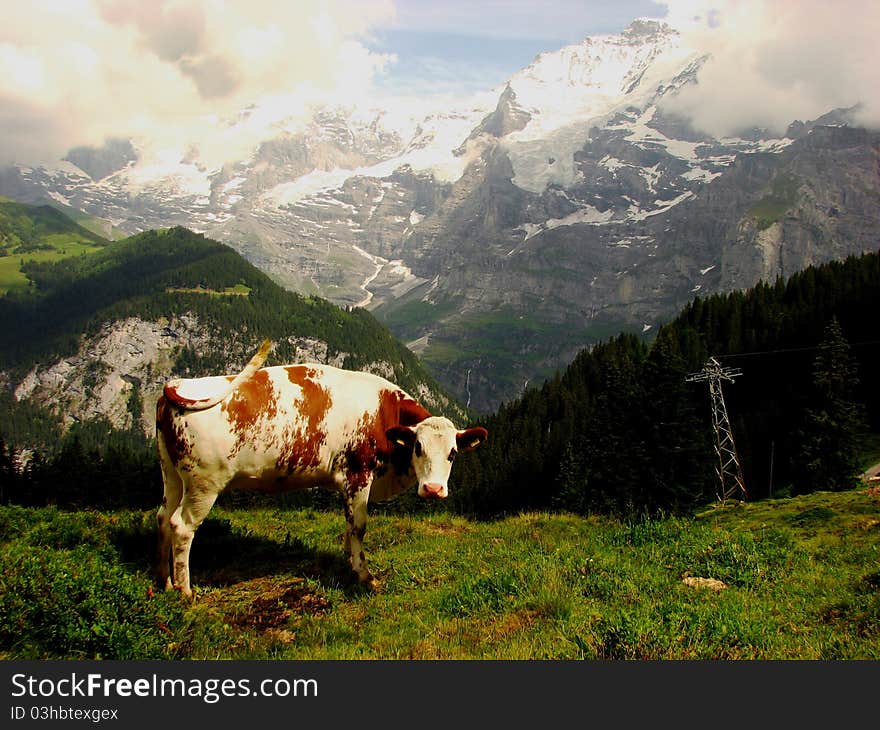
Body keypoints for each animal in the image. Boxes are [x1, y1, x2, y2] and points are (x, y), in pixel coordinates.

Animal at [158, 338, 488, 596]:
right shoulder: (357, 474)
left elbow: (348, 526)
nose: (433, 489)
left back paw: (165, 582)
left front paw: (349, 562)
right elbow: (359, 526)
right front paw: (364, 576)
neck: (383, 410)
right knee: (182, 526)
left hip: (172, 475)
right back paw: (186, 591)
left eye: (453, 453)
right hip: (204, 483)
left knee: (163, 517)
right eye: (418, 447)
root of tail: (177, 384)